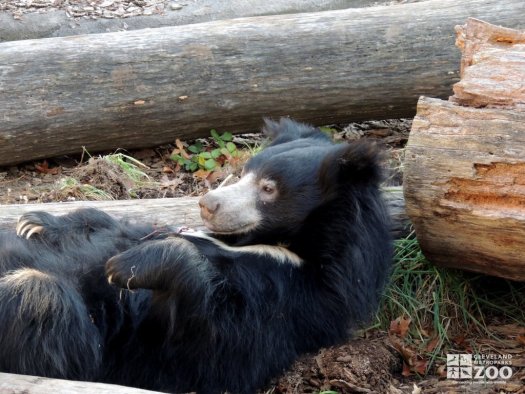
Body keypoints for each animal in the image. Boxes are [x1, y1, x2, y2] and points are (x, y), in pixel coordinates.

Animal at [0, 118, 388, 392]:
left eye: (268, 189)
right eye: (244, 172)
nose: (207, 203)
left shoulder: (292, 301)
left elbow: (211, 338)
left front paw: (127, 265)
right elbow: (112, 221)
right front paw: (35, 222)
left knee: (38, 292)